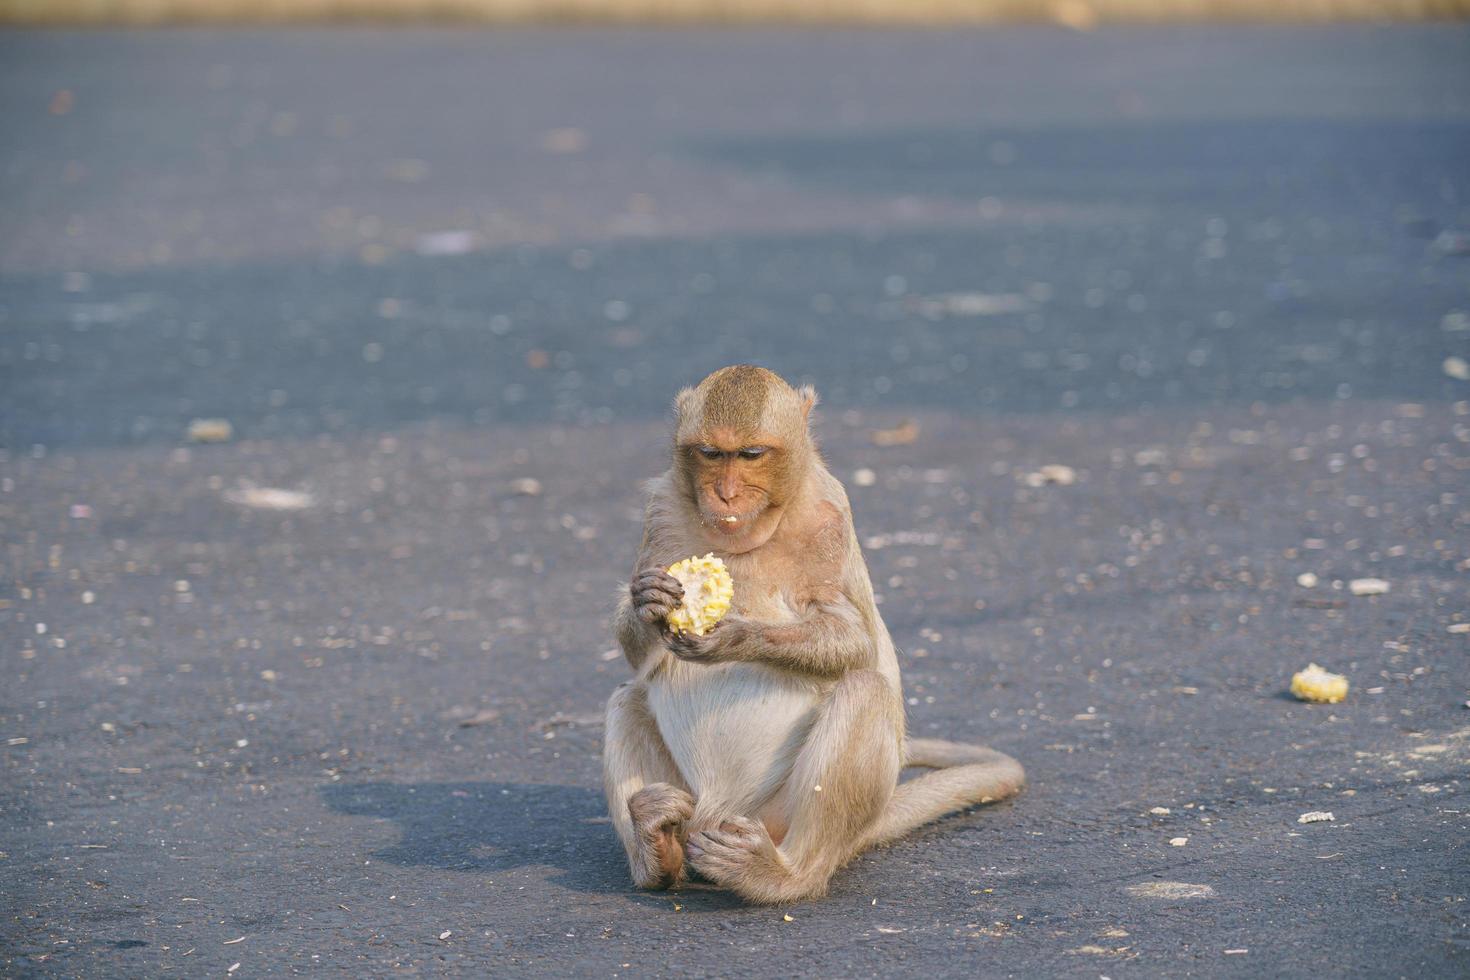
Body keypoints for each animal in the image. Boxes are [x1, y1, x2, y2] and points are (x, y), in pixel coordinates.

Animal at [596, 367, 1023, 905]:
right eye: (710, 453)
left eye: (750, 454)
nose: (725, 494)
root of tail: (714, 813)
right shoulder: (662, 509)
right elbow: (639, 659)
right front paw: (648, 602)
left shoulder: (828, 517)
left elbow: (855, 640)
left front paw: (736, 638)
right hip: (693, 808)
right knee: (625, 699)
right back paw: (656, 850)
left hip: (778, 817)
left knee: (864, 690)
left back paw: (784, 875)